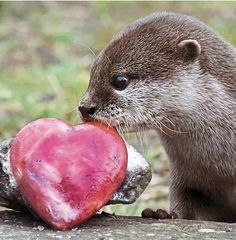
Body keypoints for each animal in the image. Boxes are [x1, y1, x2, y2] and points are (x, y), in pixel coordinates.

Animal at [78, 12, 236, 223]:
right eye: (92, 72)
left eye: (120, 80)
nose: (84, 107)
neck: (220, 167)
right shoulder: (184, 181)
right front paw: (162, 214)